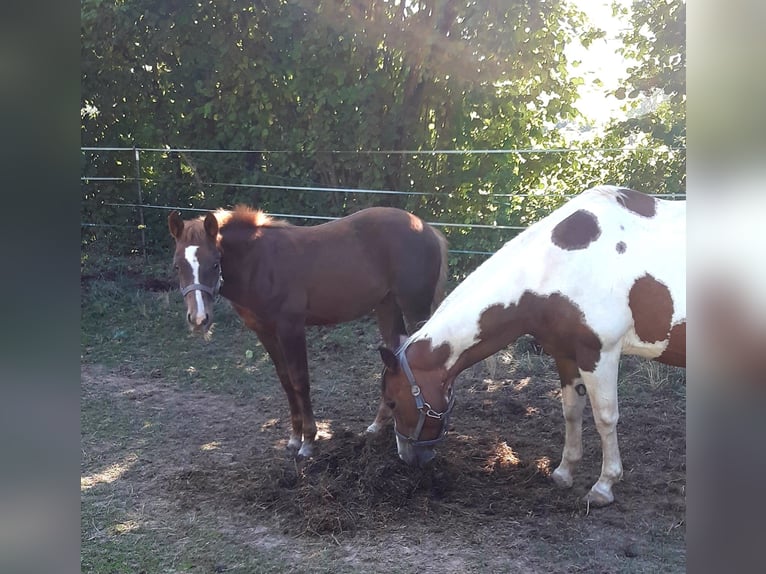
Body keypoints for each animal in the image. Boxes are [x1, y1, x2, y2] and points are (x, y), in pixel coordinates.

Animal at [168, 205, 448, 458]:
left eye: (215, 264)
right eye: (177, 266)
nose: (199, 319)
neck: (260, 264)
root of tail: (427, 229)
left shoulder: (290, 328)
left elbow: (300, 380)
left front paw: (309, 441)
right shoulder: (265, 332)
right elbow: (285, 380)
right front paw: (294, 439)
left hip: (414, 307)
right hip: (386, 306)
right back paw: (378, 425)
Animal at [378, 185, 685, 506]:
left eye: (392, 401)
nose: (408, 457)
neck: (558, 267)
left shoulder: (600, 354)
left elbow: (605, 417)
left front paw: (604, 485)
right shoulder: (566, 354)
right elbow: (571, 411)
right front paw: (564, 472)